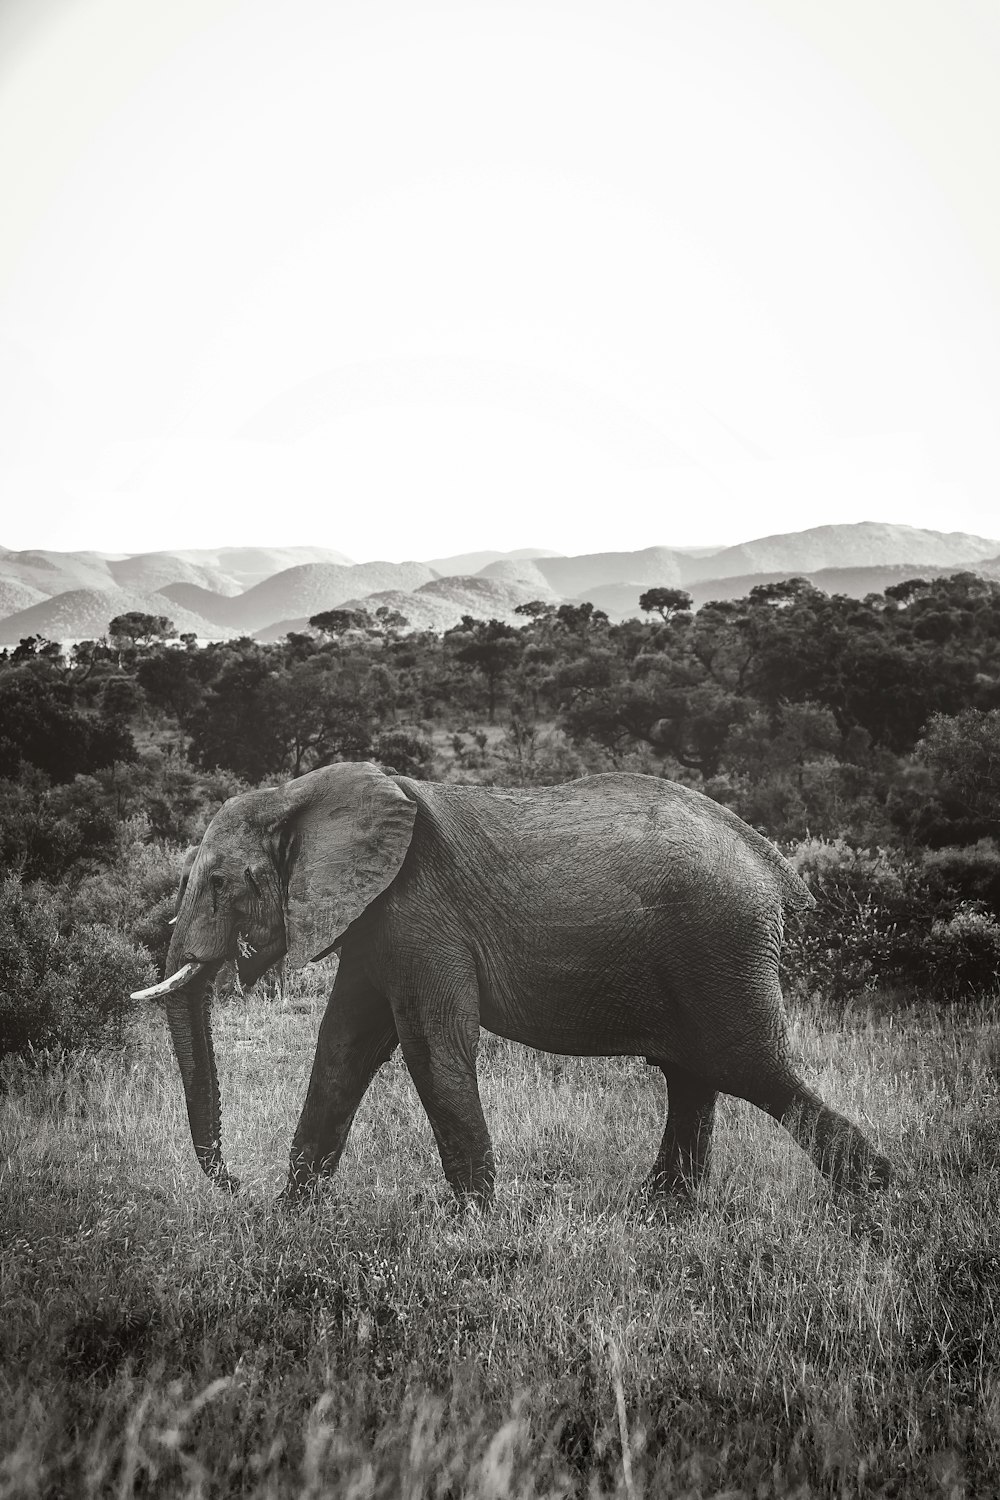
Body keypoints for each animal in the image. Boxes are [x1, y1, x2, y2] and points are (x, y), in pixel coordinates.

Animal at [134, 762, 893, 1206]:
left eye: (220, 882)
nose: (238, 1187)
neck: (300, 794)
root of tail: (776, 867)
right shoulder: (376, 921)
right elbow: (343, 1050)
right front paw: (295, 1221)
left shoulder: (419, 911)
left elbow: (431, 1050)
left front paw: (473, 1227)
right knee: (694, 1076)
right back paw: (660, 1218)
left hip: (721, 944)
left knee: (746, 1066)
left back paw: (876, 1203)